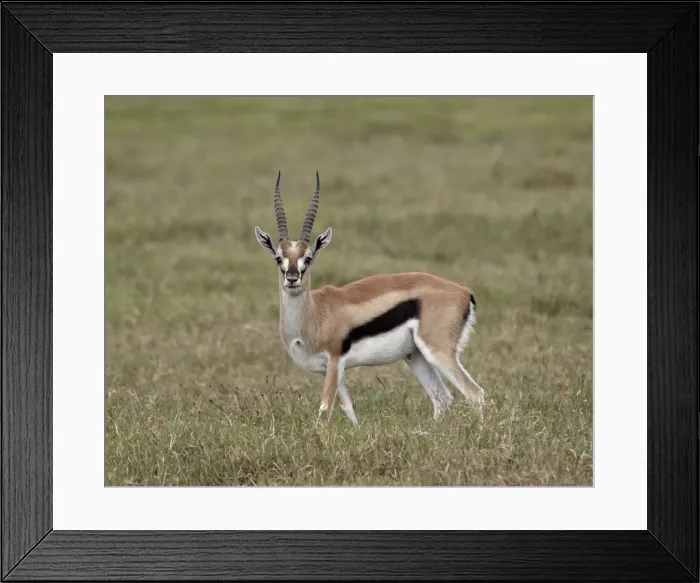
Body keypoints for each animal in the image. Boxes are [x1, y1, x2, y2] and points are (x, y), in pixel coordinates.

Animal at [254, 172, 486, 425]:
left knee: (475, 394)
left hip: (438, 352)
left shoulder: (335, 361)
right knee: (443, 399)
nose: (292, 278)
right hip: (415, 356)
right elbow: (349, 410)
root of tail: (464, 292)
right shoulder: (329, 369)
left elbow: (324, 411)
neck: (314, 314)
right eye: (279, 258)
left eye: (308, 258)